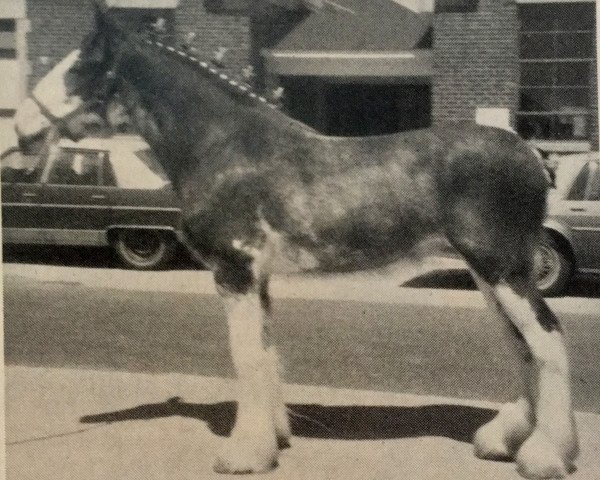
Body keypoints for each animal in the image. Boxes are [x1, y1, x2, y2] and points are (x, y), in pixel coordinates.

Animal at [14, 6, 576, 476]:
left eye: (81, 67)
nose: (19, 126)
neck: (223, 146)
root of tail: (532, 155)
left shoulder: (234, 272)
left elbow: (245, 356)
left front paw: (243, 455)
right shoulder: (257, 277)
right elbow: (265, 353)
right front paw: (274, 439)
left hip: (501, 268)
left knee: (547, 338)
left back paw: (545, 456)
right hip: (488, 274)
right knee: (523, 346)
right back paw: (504, 442)